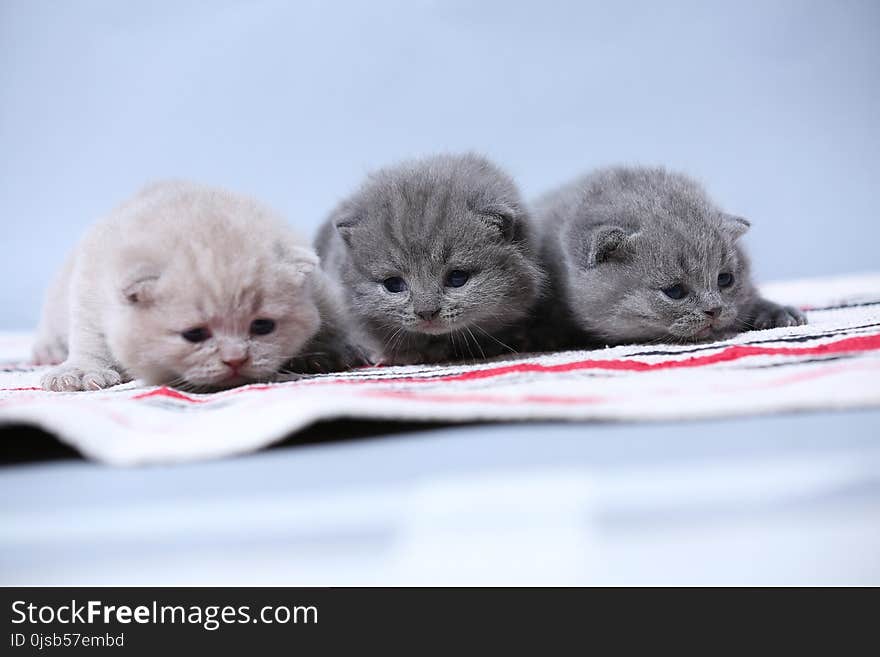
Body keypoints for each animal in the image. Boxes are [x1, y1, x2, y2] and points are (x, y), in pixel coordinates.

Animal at [36, 179, 354, 390]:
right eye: (194, 334)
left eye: (262, 326)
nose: (236, 359)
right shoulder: (90, 285)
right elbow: (91, 338)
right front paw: (79, 372)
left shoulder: (318, 285)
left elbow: (334, 318)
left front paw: (332, 351)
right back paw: (47, 351)